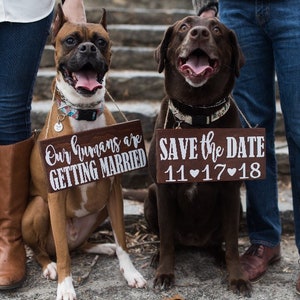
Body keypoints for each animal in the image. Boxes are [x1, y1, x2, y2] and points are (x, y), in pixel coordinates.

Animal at [21, 4, 146, 300]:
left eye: (101, 41)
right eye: (70, 40)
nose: (88, 48)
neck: (84, 111)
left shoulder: (114, 190)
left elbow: (122, 239)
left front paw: (130, 271)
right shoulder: (55, 195)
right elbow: (64, 254)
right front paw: (65, 286)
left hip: (99, 210)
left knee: (78, 246)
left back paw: (101, 247)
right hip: (39, 207)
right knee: (47, 249)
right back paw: (49, 266)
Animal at [143, 15, 251, 296]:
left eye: (217, 29)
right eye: (183, 26)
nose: (199, 33)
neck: (198, 113)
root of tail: (194, 241)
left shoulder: (231, 190)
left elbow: (233, 244)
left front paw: (238, 278)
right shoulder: (163, 189)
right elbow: (167, 240)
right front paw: (165, 274)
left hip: (237, 209)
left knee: (219, 241)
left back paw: (218, 256)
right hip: (150, 195)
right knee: (168, 239)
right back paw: (157, 256)